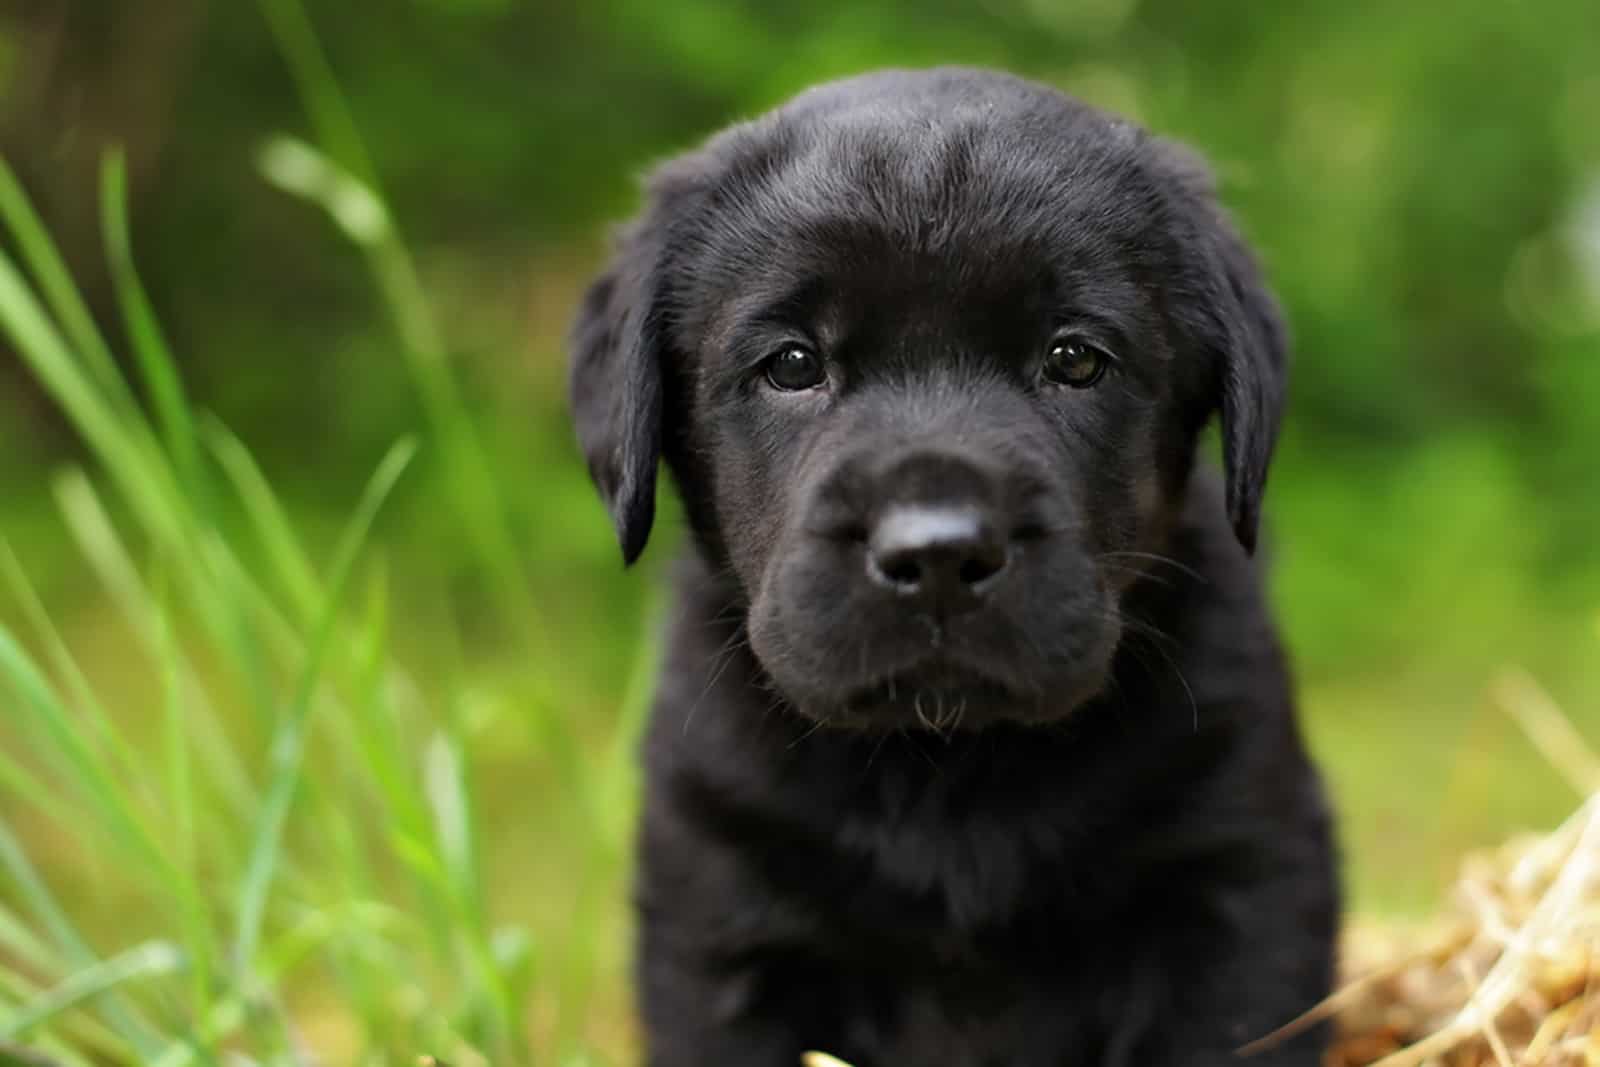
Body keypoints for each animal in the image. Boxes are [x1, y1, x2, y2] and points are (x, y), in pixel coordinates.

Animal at [569, 66, 1331, 1067]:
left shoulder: (1240, 878)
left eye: (1074, 357)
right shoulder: (718, 912)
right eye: (793, 364)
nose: (935, 553)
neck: (947, 764)